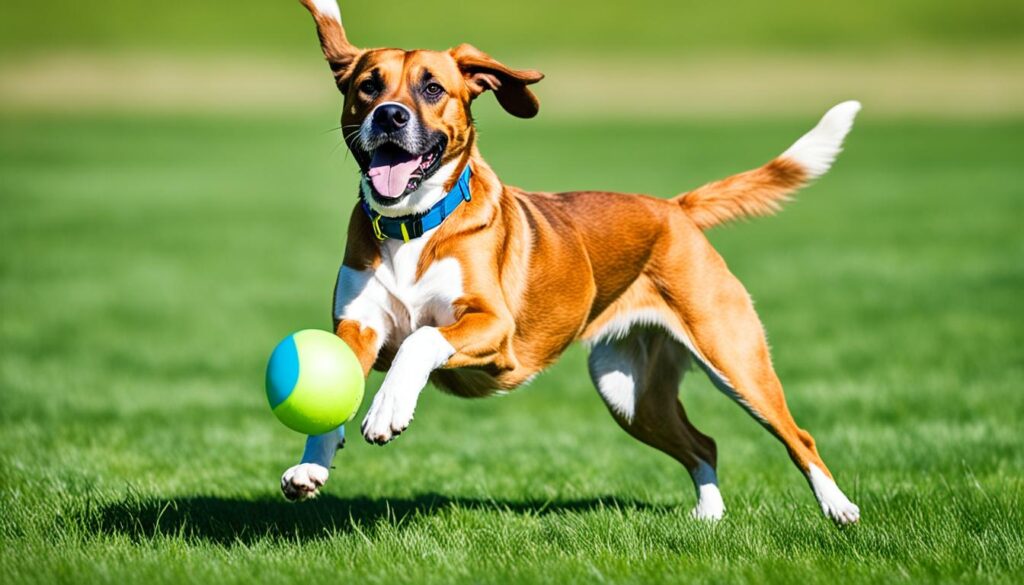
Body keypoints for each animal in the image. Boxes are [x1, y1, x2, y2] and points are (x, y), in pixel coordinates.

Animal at [282, 0, 864, 524]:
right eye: (368, 86)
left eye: (432, 88)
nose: (390, 115)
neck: (411, 225)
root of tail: (674, 209)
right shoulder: (360, 328)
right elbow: (335, 388)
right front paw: (311, 468)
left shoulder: (493, 329)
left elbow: (422, 340)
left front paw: (387, 411)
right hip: (628, 391)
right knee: (704, 444)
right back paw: (710, 518)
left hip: (732, 357)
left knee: (797, 436)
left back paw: (839, 509)